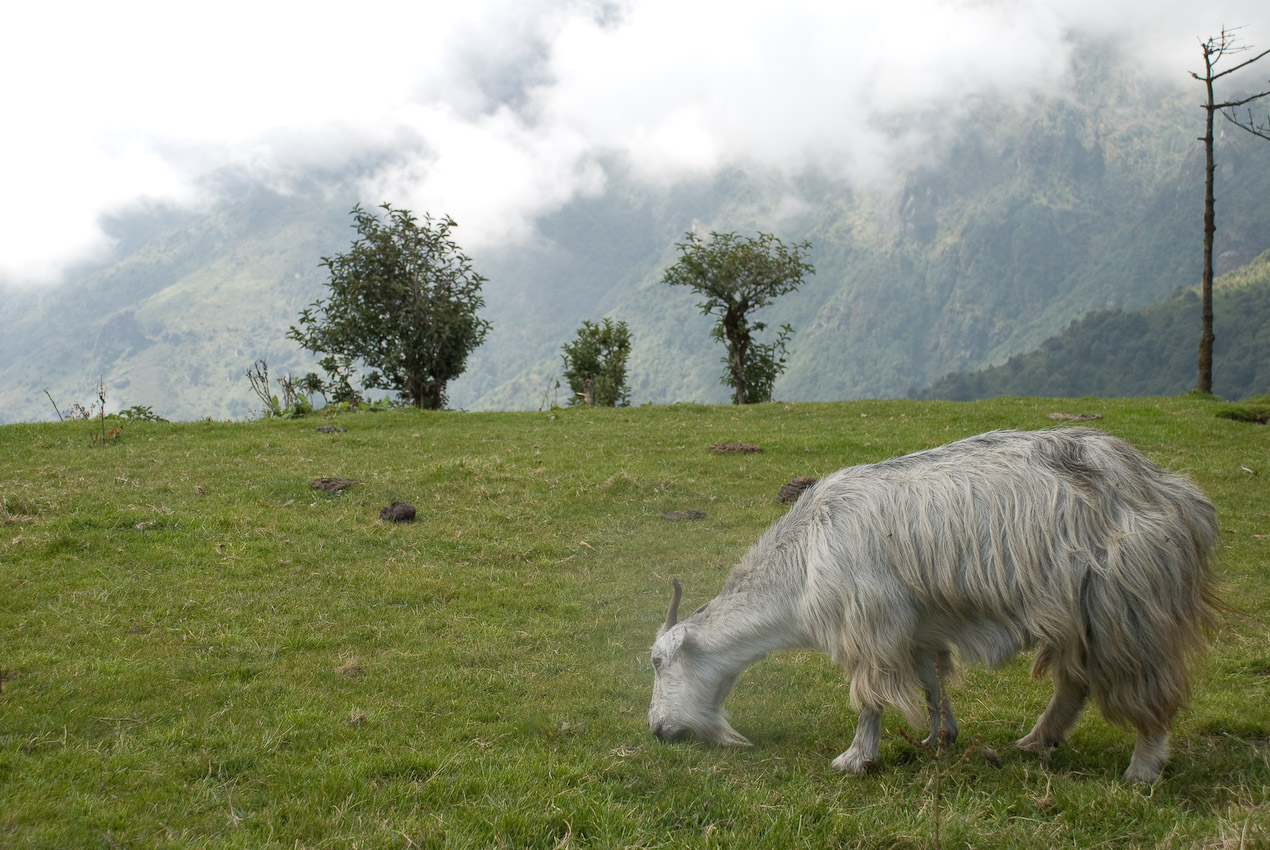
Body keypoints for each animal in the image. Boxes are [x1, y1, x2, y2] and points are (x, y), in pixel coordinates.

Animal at [648, 428, 1220, 782]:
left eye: (657, 662)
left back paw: (1141, 769)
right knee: (1074, 682)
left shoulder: (872, 624)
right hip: (1077, 616)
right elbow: (931, 680)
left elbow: (870, 694)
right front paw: (939, 737)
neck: (806, 555)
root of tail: (1172, 493)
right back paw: (1037, 742)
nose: (657, 731)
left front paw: (855, 758)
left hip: (1126, 607)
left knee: (1145, 688)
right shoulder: (919, 626)